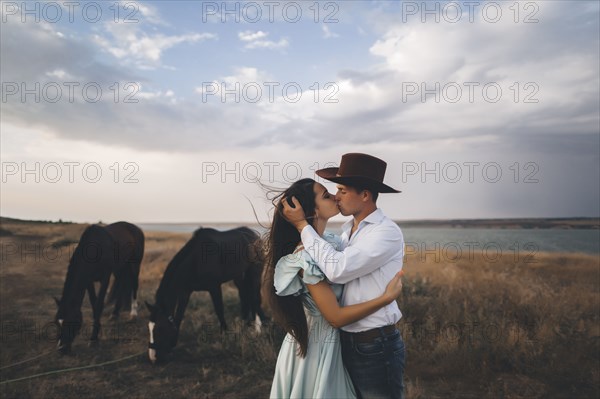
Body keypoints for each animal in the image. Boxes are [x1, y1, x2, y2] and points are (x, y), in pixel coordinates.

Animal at [55, 220, 146, 354]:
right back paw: (114, 314)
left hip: (135, 264)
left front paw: (93, 339)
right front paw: (96, 332)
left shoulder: (105, 278)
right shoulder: (88, 281)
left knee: (134, 285)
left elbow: (98, 304)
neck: (93, 251)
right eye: (57, 322)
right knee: (121, 284)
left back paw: (133, 314)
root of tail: (137, 229)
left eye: (71, 321)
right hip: (120, 267)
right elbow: (94, 303)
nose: (61, 349)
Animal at [145, 227, 268, 364]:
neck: (196, 261)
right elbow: (178, 316)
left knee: (255, 298)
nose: (153, 358)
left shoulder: (214, 287)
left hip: (255, 273)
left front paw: (225, 337)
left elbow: (219, 310)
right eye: (149, 328)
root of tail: (254, 235)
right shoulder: (185, 292)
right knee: (245, 297)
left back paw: (258, 328)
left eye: (160, 328)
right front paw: (172, 344)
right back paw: (246, 325)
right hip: (239, 277)